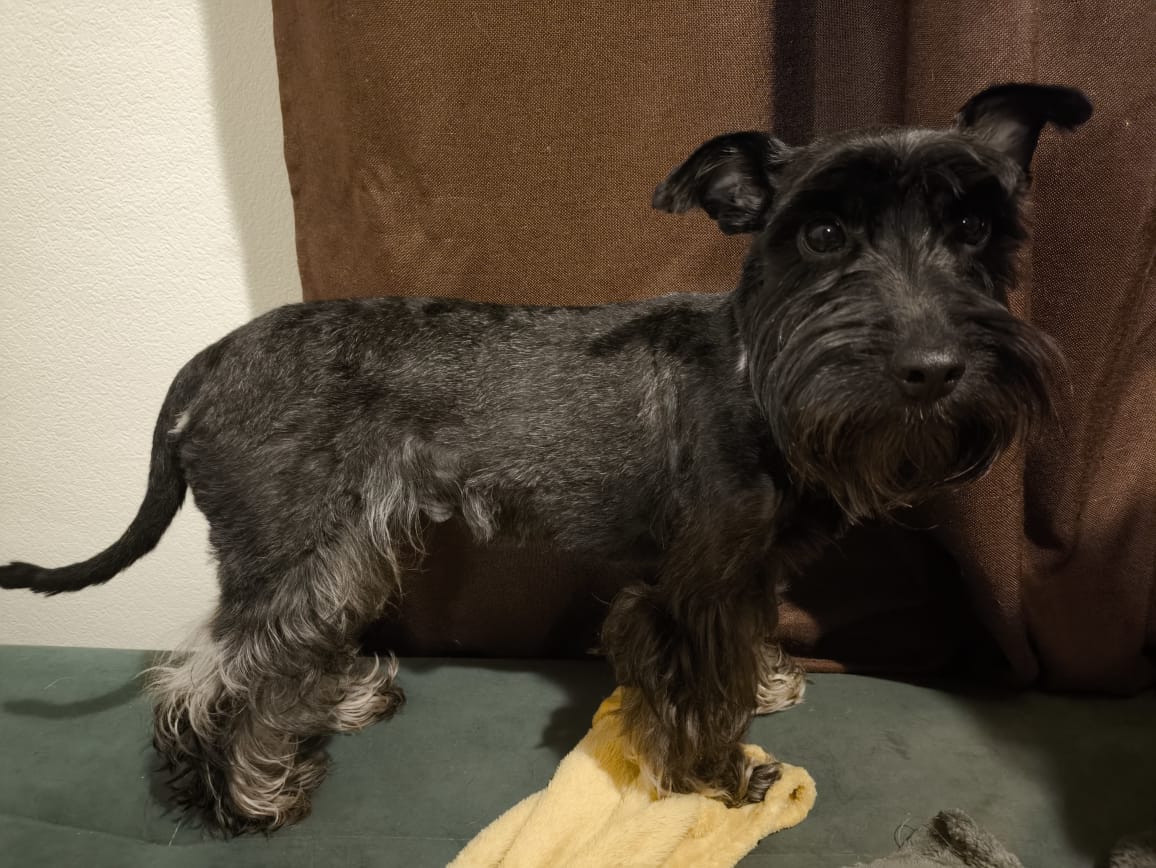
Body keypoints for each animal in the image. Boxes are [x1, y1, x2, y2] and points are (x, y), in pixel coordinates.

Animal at [0, 82, 1091, 834]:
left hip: (342, 549)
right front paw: (725, 773)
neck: (762, 364)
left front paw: (766, 685)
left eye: (973, 227)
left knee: (270, 657)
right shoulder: (690, 586)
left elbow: (745, 645)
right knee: (212, 673)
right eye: (821, 233)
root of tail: (212, 357)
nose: (932, 368)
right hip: (291, 553)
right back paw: (249, 797)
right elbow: (698, 687)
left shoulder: (747, 568)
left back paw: (334, 706)